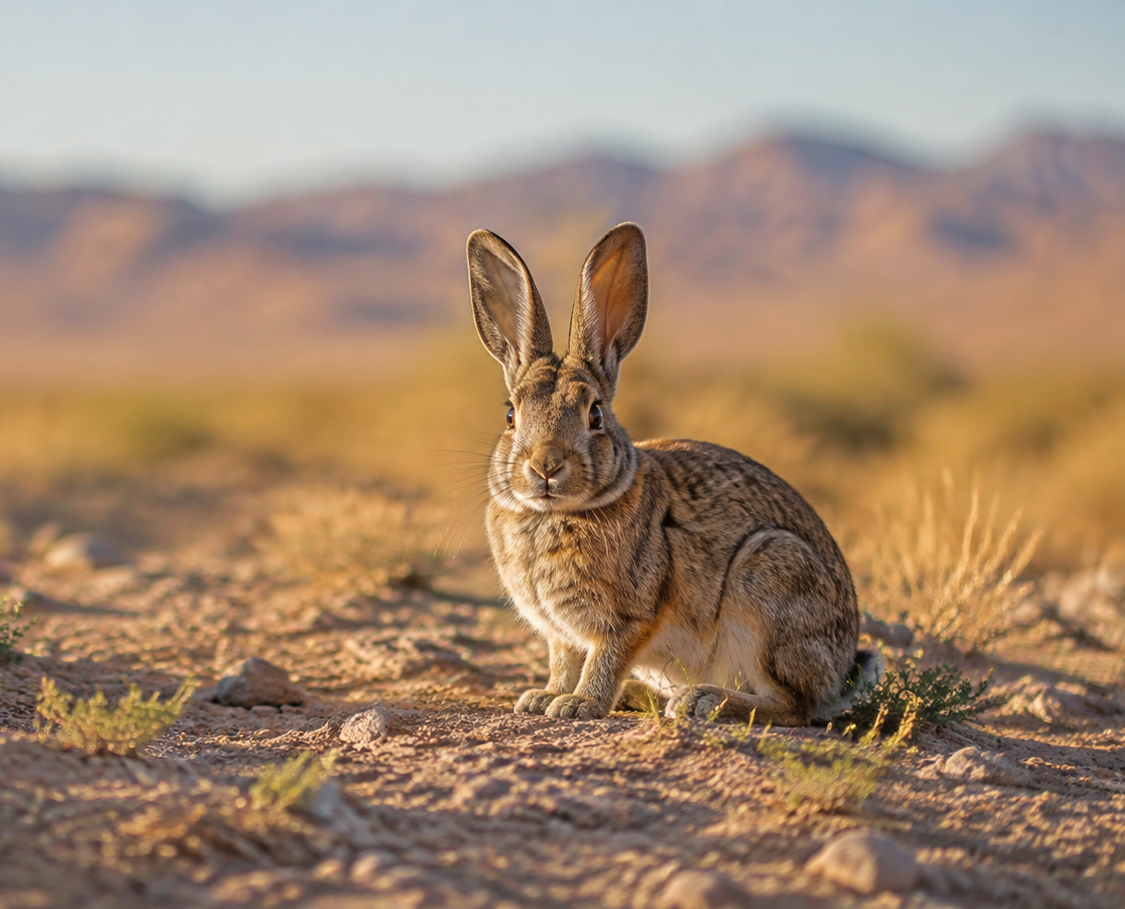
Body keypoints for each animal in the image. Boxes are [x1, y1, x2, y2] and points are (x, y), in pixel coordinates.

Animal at [466, 222, 880, 725]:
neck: (555, 513)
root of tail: (839, 675)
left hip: (768, 583)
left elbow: (605, 659)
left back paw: (702, 700)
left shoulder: (631, 616)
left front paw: (580, 704)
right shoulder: (561, 635)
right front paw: (544, 697)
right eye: (510, 415)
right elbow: (563, 662)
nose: (545, 466)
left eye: (595, 415)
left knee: (795, 707)